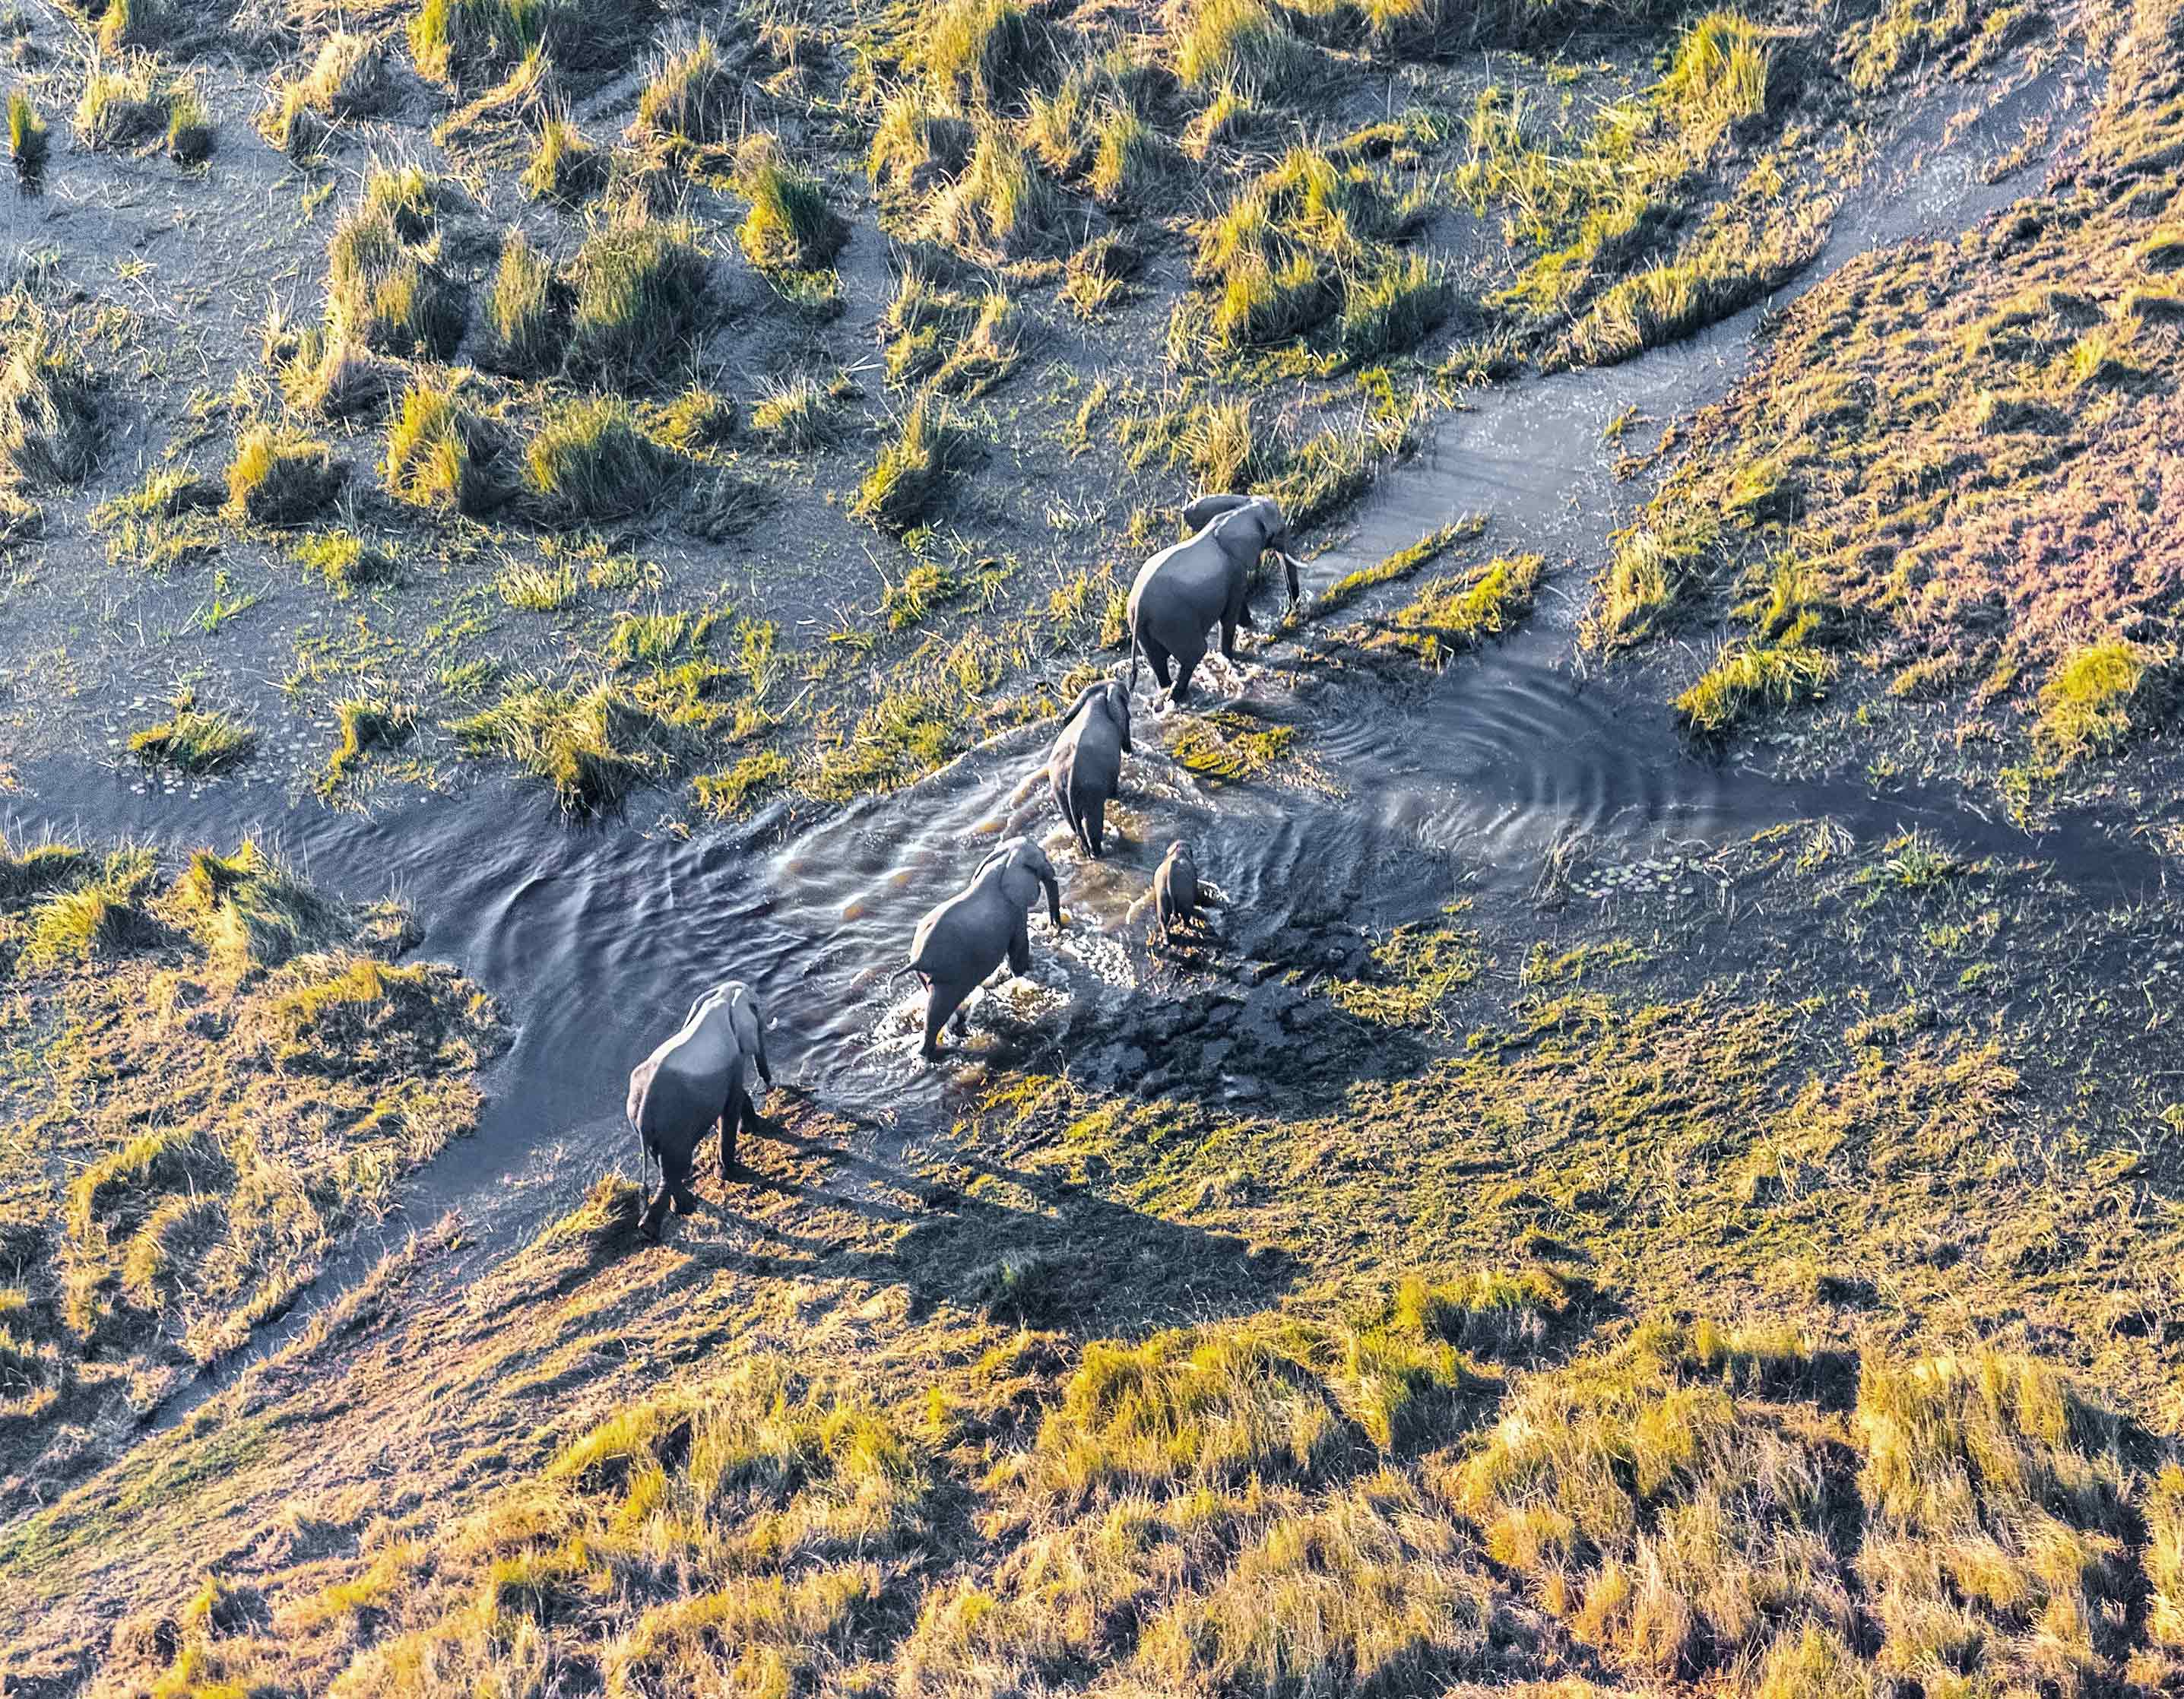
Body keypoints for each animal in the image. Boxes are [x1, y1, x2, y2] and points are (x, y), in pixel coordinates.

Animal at [626, 980, 772, 1241]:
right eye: (757, 1010)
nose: (770, 1086)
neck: (722, 998)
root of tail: (641, 1113)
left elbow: (734, 1098)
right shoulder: (731, 1057)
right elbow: (730, 1105)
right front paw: (729, 1174)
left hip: (655, 1128)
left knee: (667, 1167)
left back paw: (675, 1213)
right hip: (674, 1124)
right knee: (676, 1166)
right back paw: (657, 1225)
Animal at [907, 837, 1062, 1060]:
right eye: (1043, 857)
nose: (1056, 926)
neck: (1003, 861)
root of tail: (918, 958)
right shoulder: (1014, 909)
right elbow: (1019, 945)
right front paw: (1024, 972)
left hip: (930, 975)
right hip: (949, 973)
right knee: (938, 1009)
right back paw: (936, 1053)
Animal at [1048, 680, 1132, 858]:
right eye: (1129, 716)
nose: (1129, 752)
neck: (1097, 695)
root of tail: (1068, 777)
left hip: (1059, 792)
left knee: (1074, 824)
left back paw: (1087, 852)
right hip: (1090, 791)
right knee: (1092, 824)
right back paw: (1098, 853)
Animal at [1127, 493, 1301, 710]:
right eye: (1279, 531)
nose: (1291, 612)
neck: (1238, 511)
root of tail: (1140, 606)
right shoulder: (1234, 568)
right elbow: (1232, 613)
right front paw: (1231, 655)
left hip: (1145, 628)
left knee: (1157, 661)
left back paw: (1166, 694)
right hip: (1174, 621)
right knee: (1194, 654)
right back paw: (1176, 699)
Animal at [1153, 840, 1208, 946]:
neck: (1177, 851)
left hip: (1162, 896)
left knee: (1163, 919)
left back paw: (1166, 940)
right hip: (1184, 895)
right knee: (1186, 915)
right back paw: (1188, 926)